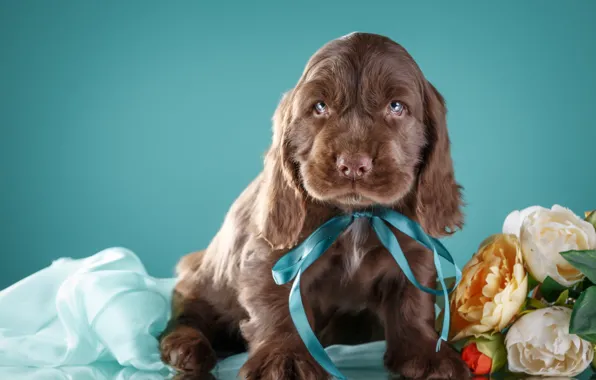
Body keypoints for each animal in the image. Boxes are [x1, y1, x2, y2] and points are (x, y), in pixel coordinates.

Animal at [161, 33, 468, 380]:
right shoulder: (273, 255)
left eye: (396, 107)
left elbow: (413, 302)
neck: (356, 217)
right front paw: (284, 359)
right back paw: (185, 347)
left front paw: (428, 355)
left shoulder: (412, 250)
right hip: (202, 279)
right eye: (320, 106)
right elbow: (279, 306)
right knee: (188, 313)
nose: (353, 164)